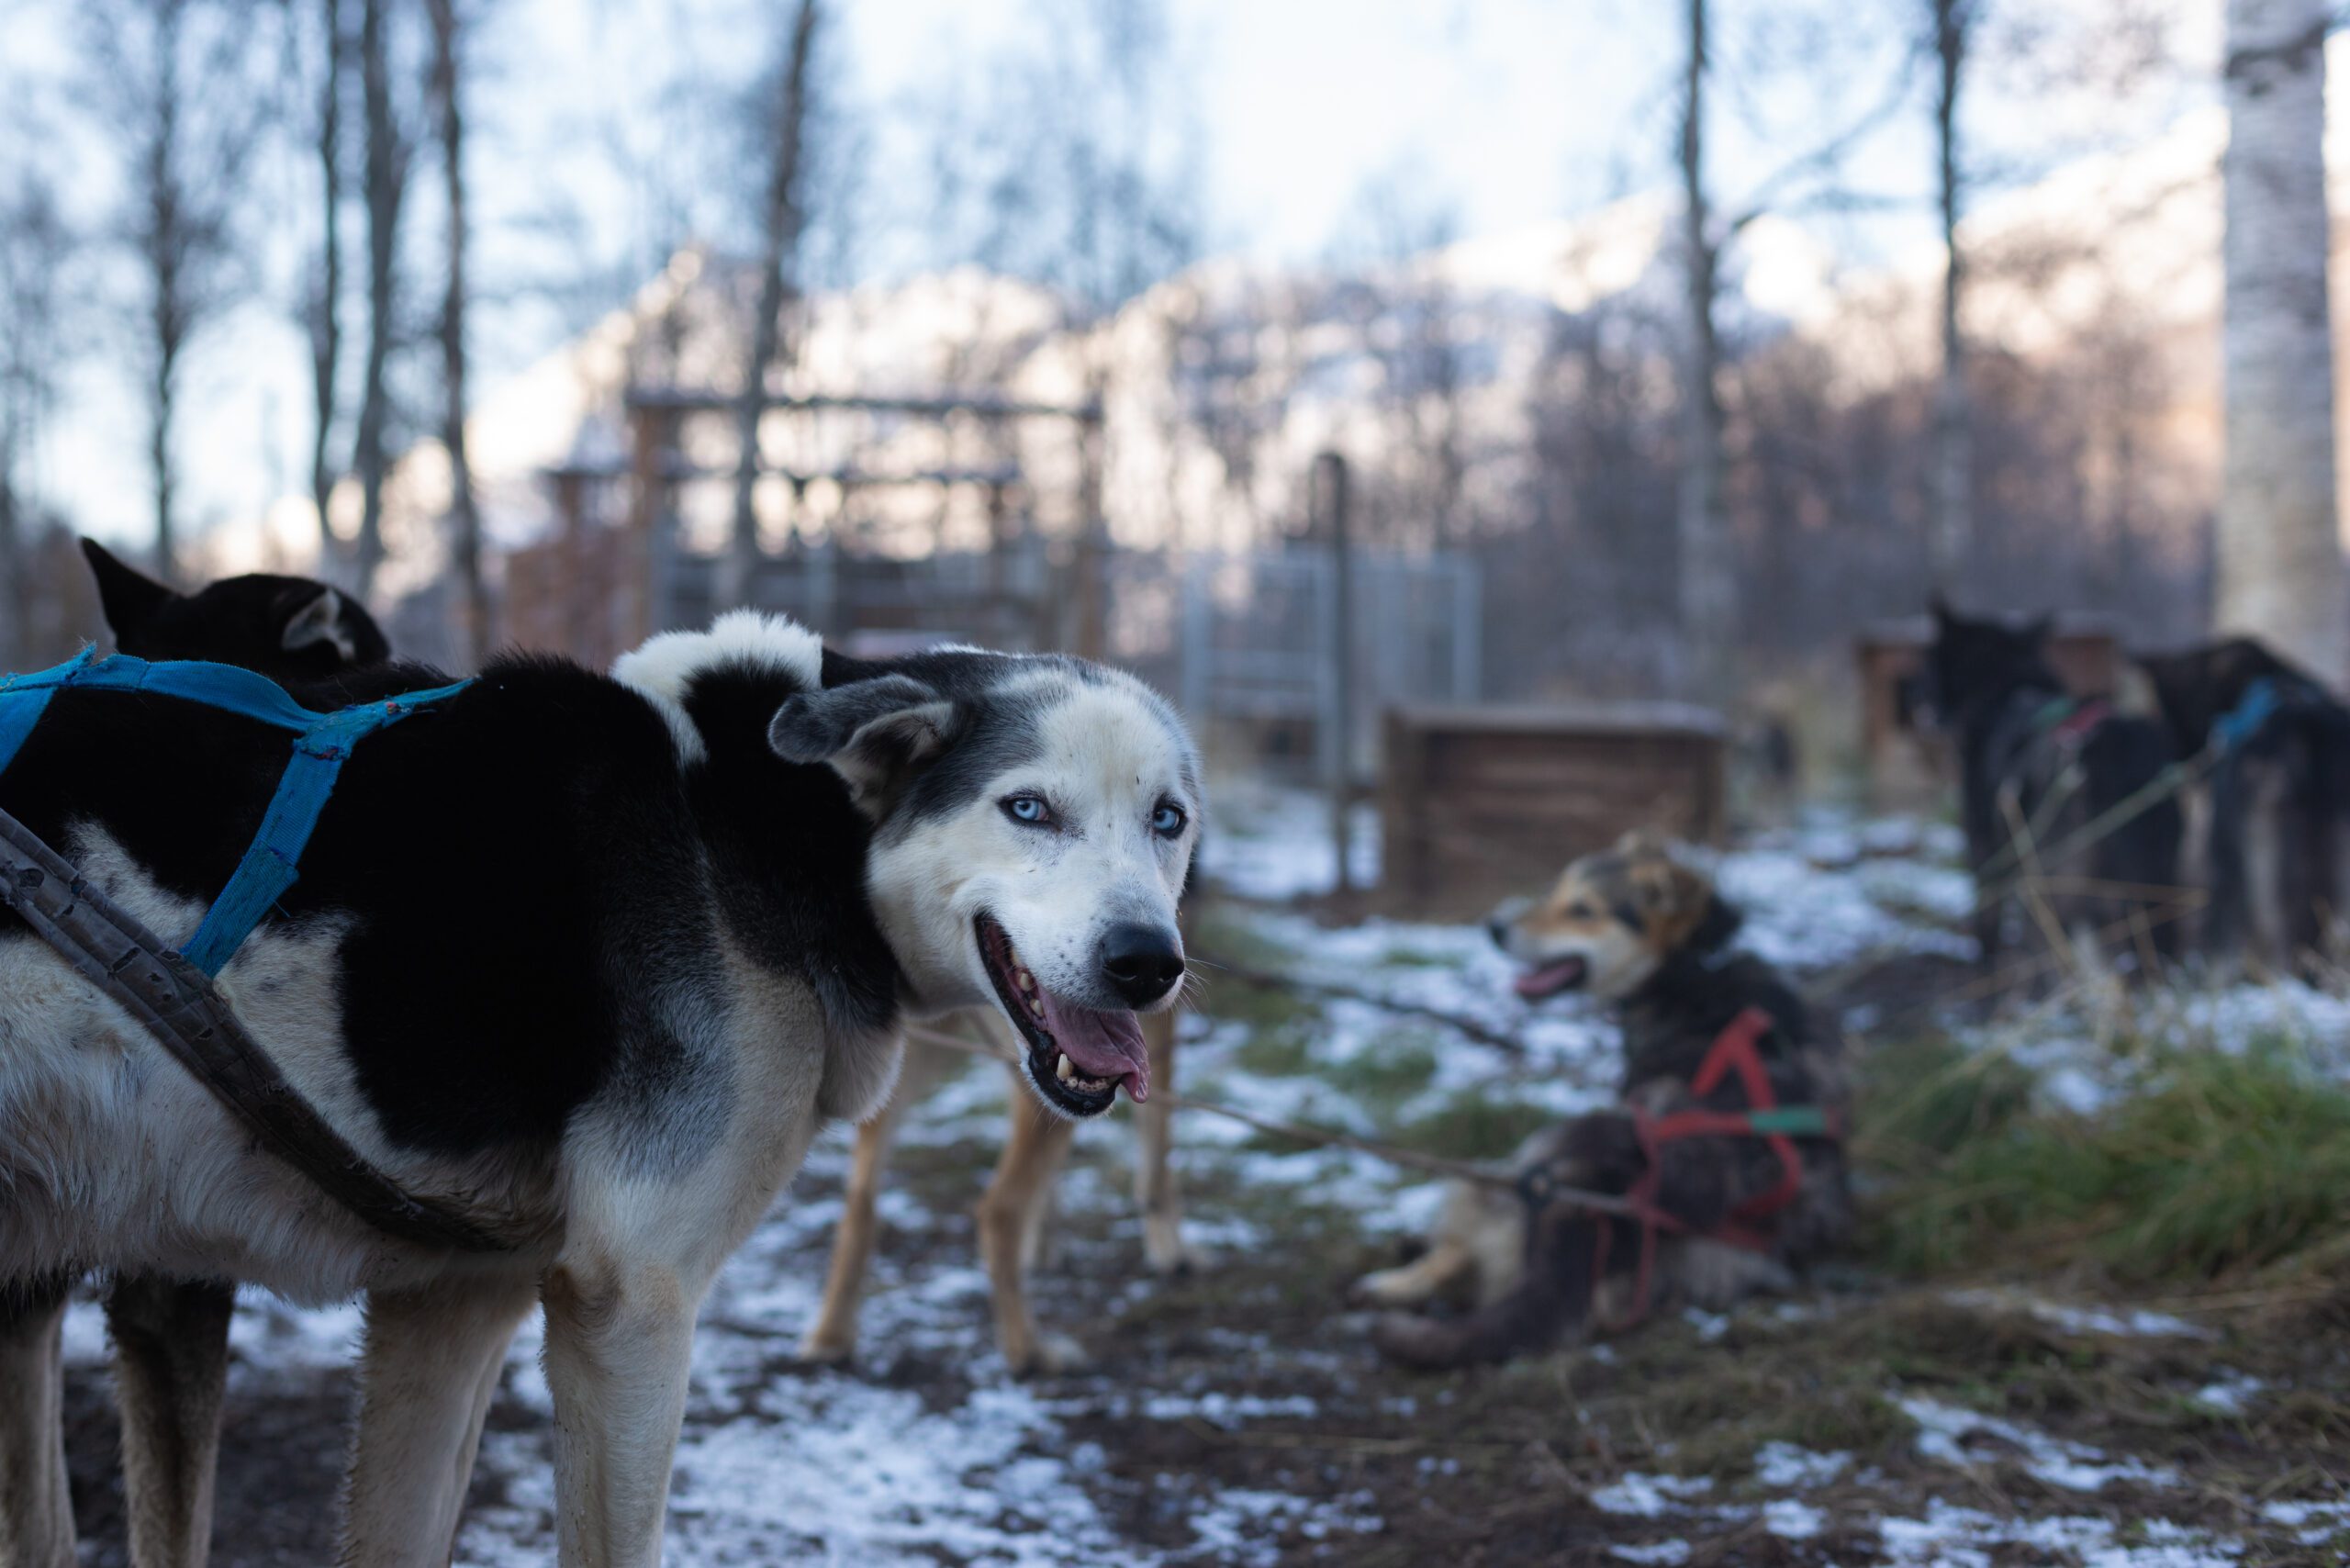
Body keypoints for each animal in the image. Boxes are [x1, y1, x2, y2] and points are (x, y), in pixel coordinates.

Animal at [0, 615, 1203, 1568]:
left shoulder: (455, 1304)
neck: (754, 821)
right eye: (1028, 808)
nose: (1150, 961)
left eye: (1168, 818)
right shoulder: (632, 1304)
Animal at [1353, 841, 1842, 1363]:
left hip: (1528, 1157)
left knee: (1457, 1250)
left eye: (1583, 910)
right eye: (1555, 892)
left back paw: (1396, 1278)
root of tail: (1594, 1205)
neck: (1693, 965)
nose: (1495, 928)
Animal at [1908, 606, 2180, 973]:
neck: (2006, 691)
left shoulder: (1984, 848)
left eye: (1928, 660)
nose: (1913, 691)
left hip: (2053, 890)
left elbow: (1987, 921)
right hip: (2157, 889)